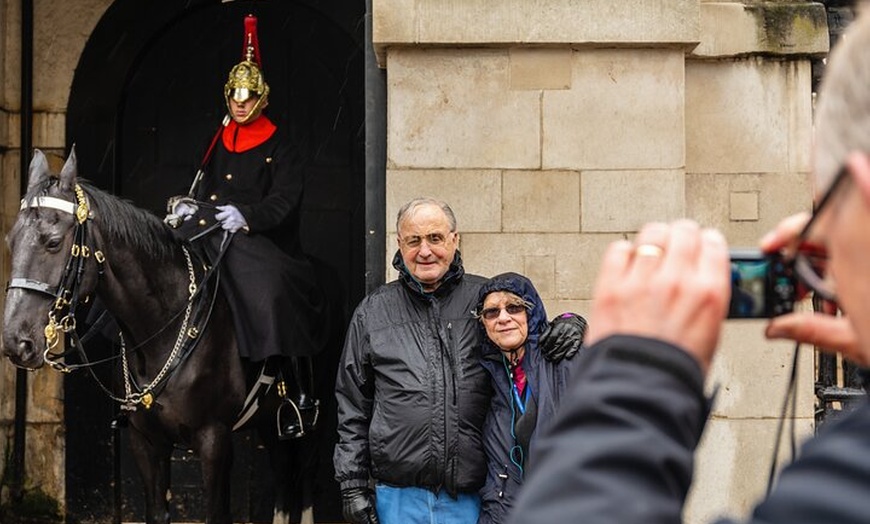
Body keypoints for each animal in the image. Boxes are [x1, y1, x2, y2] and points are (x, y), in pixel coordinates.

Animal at [1, 148, 322, 524]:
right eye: (10, 240)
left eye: (53, 243)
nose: (16, 342)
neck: (162, 333)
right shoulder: (146, 442)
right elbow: (157, 512)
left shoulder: (214, 440)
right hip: (269, 424)